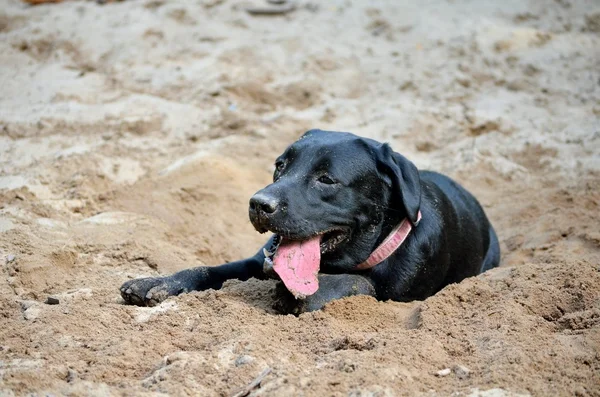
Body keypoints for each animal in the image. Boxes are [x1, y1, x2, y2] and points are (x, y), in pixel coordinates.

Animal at [119, 130, 500, 312]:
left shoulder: (396, 294)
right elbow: (210, 269)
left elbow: (359, 282)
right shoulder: (256, 262)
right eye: (280, 165)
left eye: (326, 180)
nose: (259, 204)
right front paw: (163, 281)